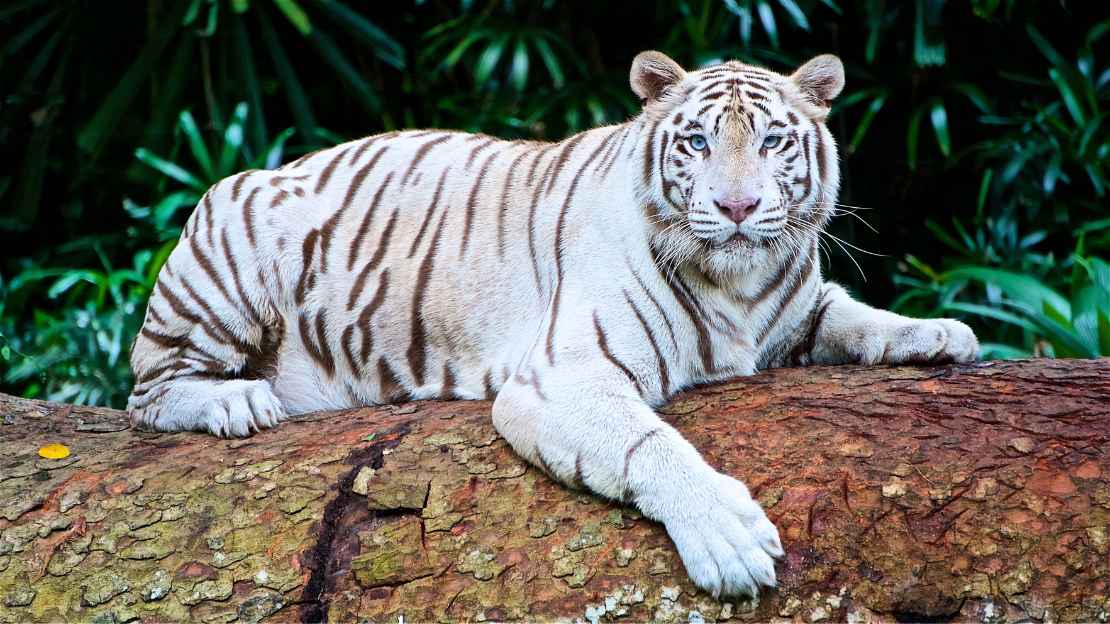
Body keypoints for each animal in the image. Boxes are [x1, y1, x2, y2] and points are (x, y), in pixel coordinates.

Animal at [127, 51, 979, 598]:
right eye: (697, 141)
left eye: (772, 140)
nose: (737, 207)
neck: (739, 286)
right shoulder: (565, 376)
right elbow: (651, 445)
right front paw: (730, 541)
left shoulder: (796, 309)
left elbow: (854, 314)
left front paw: (941, 332)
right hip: (226, 252)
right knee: (149, 392)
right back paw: (237, 401)